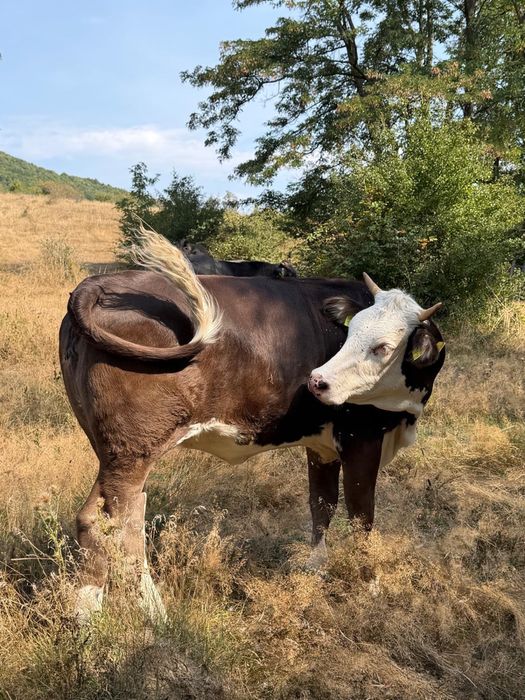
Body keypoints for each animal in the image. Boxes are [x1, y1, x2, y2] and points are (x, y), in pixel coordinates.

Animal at [59, 228, 445, 619]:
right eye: (353, 335)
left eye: (383, 347)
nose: (317, 381)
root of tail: (100, 283)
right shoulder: (362, 438)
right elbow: (361, 514)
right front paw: (372, 585)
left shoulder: (322, 445)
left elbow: (322, 503)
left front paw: (316, 567)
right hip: (133, 450)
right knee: (114, 521)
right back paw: (142, 612)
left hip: (113, 451)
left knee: (111, 516)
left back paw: (99, 611)